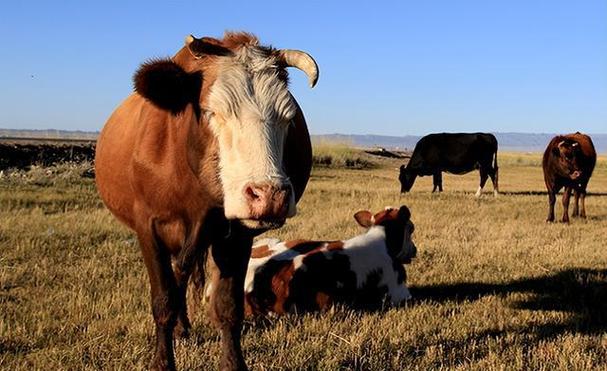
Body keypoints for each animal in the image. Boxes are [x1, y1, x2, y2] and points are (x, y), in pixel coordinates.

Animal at [94, 32, 318, 371]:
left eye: (288, 118)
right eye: (212, 111)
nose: (269, 196)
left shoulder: (235, 236)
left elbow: (227, 306)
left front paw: (233, 363)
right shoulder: (149, 229)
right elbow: (163, 300)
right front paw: (163, 362)